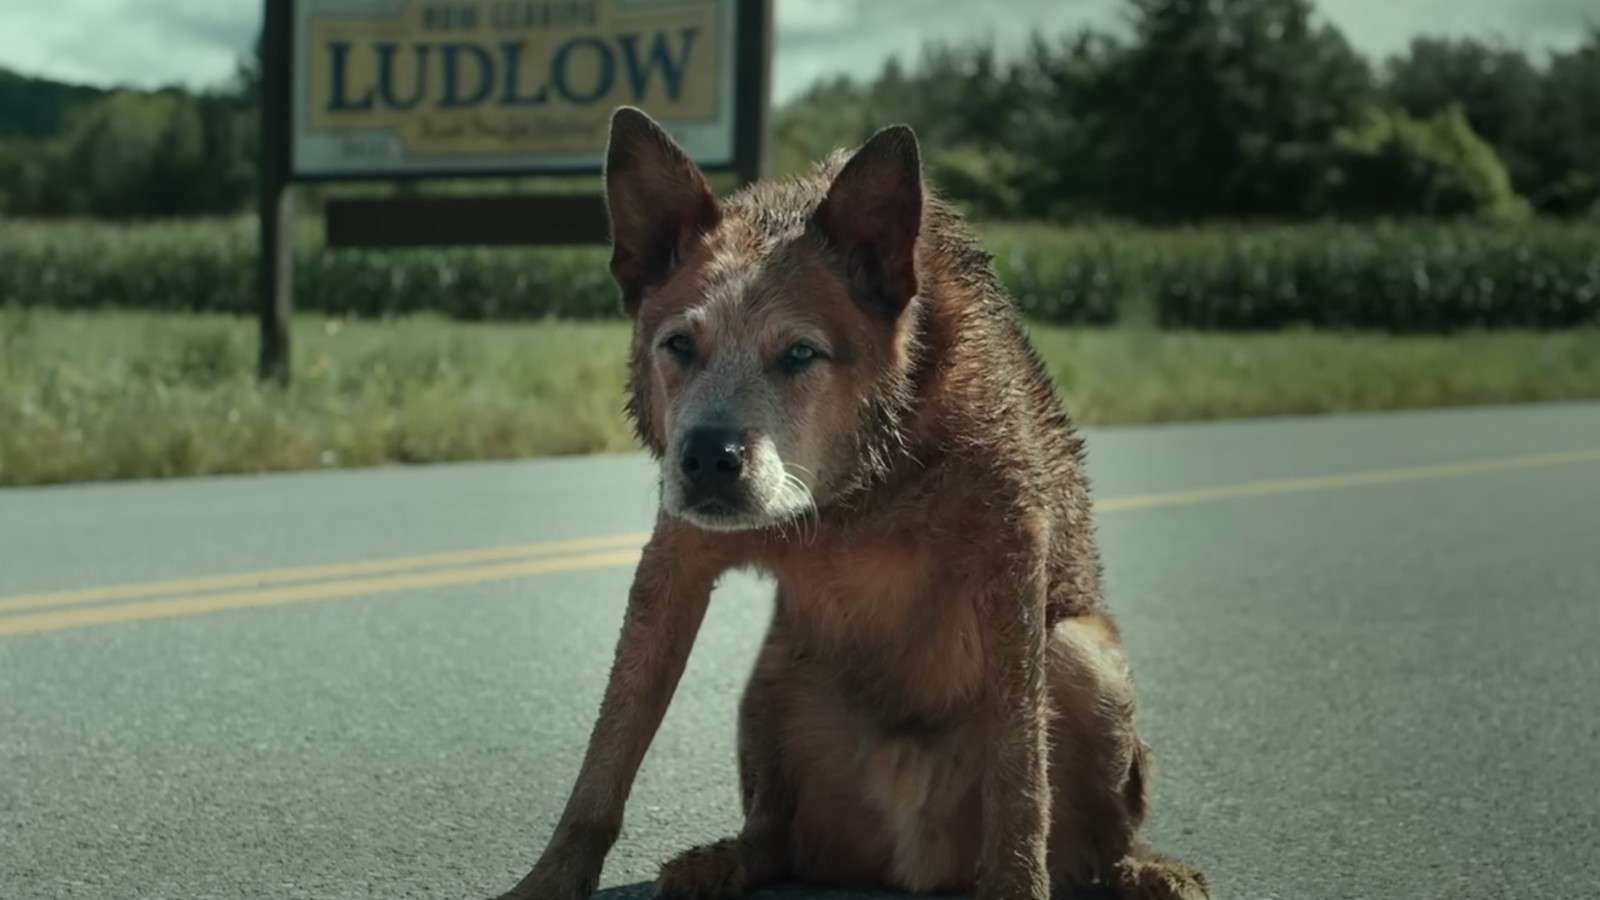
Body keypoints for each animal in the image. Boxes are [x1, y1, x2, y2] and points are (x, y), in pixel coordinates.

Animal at [492, 106, 1203, 896]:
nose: (708, 458)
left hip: (1084, 655)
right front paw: (550, 880)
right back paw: (726, 859)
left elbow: (1020, 775)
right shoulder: (675, 561)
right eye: (679, 345)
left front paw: (1019, 883)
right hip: (777, 676)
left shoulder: (1011, 550)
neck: (855, 493)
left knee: (1095, 840)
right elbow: (607, 755)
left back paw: (1147, 871)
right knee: (777, 836)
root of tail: (913, 862)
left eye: (800, 354)